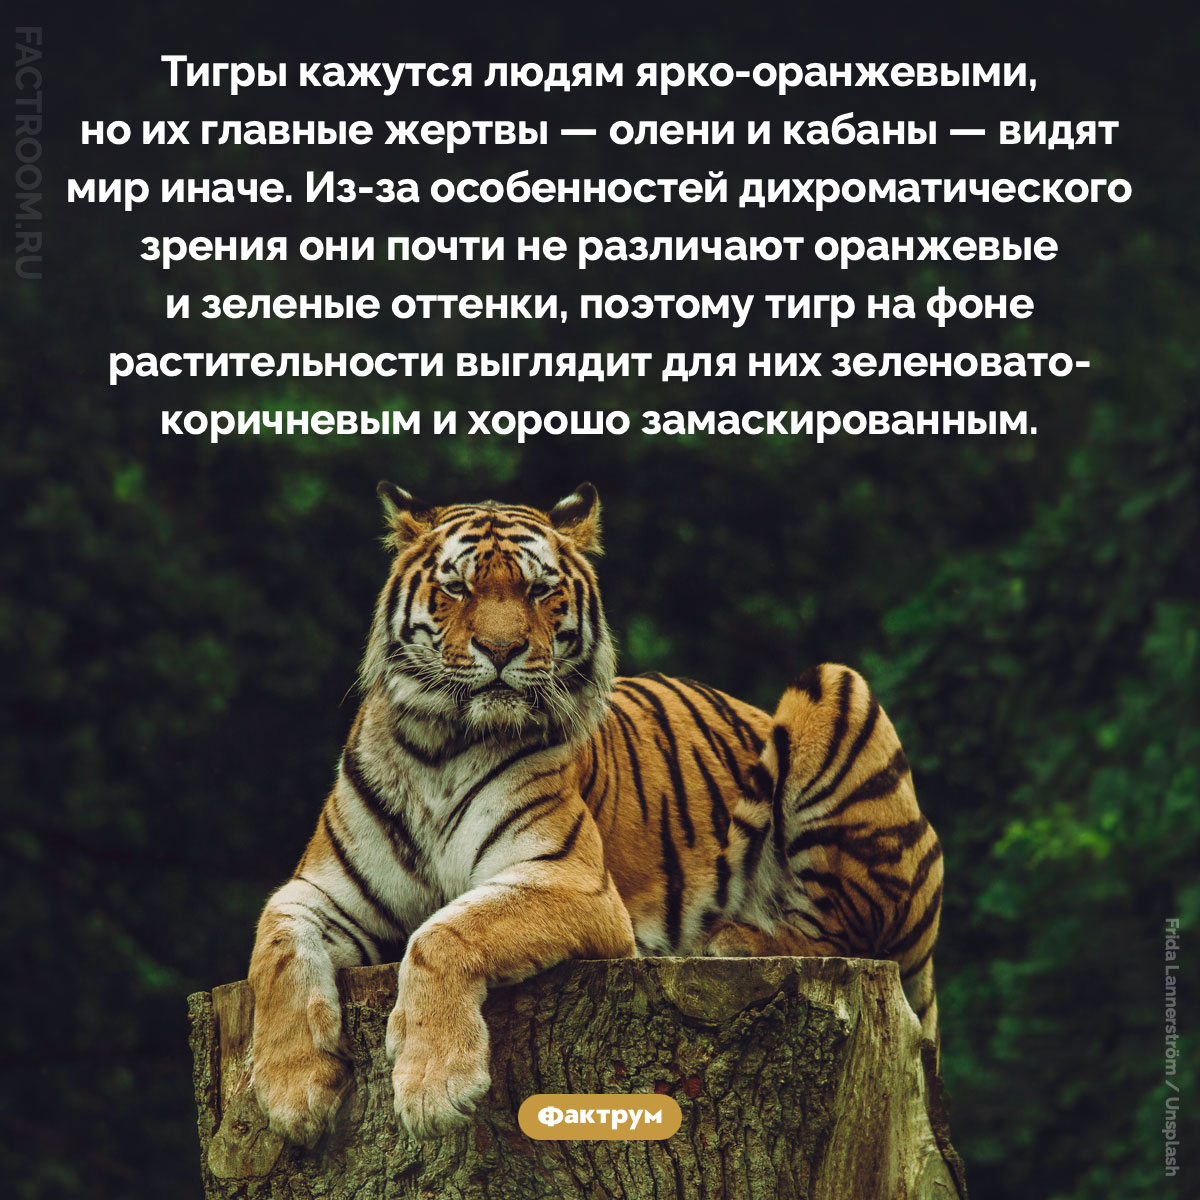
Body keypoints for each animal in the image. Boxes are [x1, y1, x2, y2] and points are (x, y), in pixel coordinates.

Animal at [247, 481, 943, 1145]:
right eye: (457, 587)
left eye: (539, 589)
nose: (500, 648)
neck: (438, 748)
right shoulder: (322, 890)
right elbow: (275, 953)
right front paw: (291, 1094)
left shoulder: (570, 880)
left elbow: (443, 933)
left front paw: (433, 1087)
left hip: (836, 688)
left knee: (848, 931)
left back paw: (734, 938)